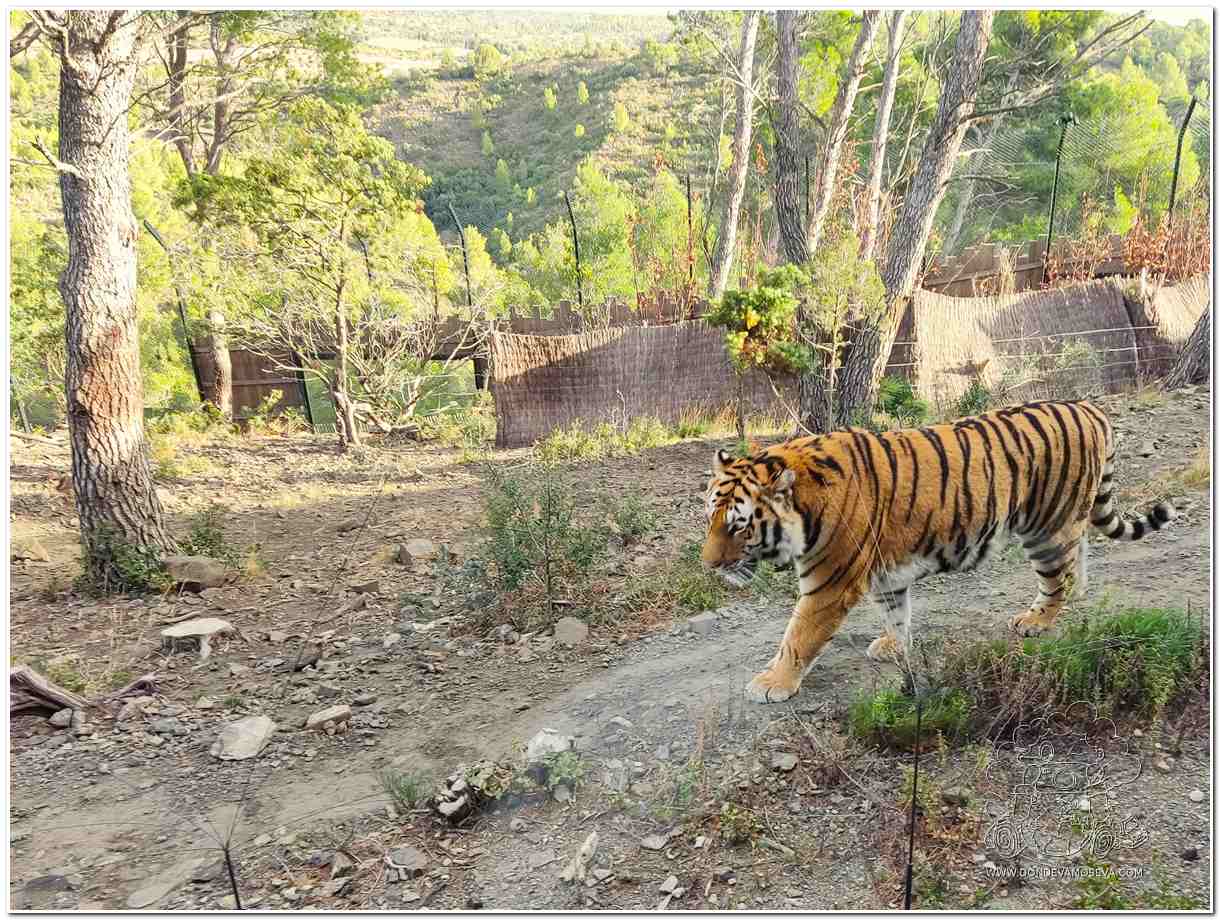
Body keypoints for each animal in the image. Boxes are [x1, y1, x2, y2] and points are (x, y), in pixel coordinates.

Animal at [701, 399, 1176, 704]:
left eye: (738, 526)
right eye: (710, 517)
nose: (709, 565)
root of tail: (1090, 408)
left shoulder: (829, 583)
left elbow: (797, 637)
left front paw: (771, 683)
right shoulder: (883, 570)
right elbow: (895, 610)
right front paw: (894, 646)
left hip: (1045, 527)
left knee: (1055, 577)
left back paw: (1036, 621)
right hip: (1063, 519)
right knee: (1077, 552)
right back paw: (1076, 592)